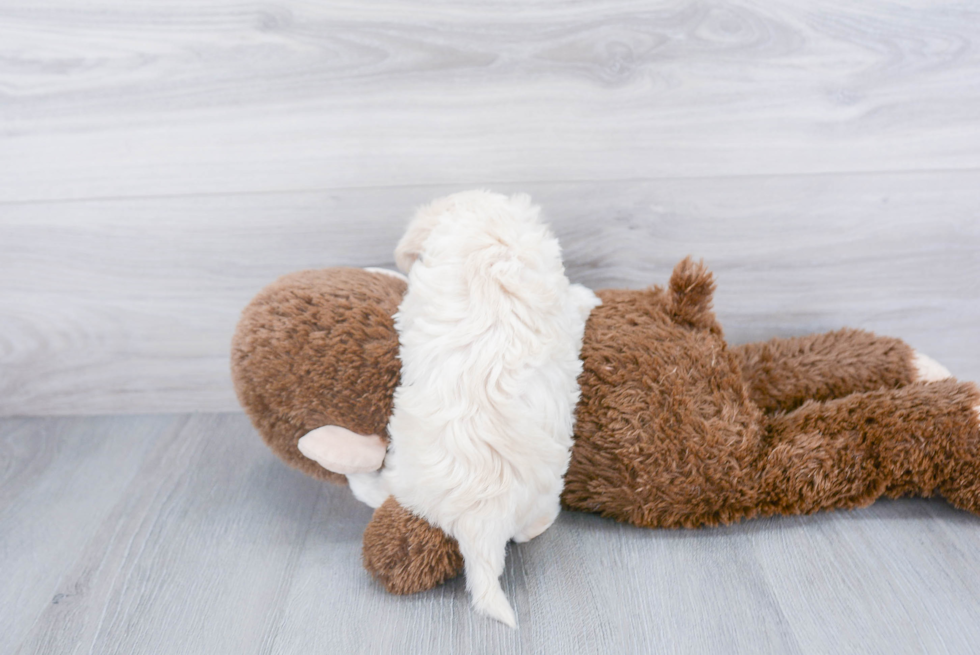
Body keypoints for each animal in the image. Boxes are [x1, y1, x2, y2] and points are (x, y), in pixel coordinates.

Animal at [380, 191, 596, 632]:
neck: (489, 241)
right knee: (531, 528)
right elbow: (574, 301)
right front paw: (590, 296)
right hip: (543, 491)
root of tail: (481, 521)